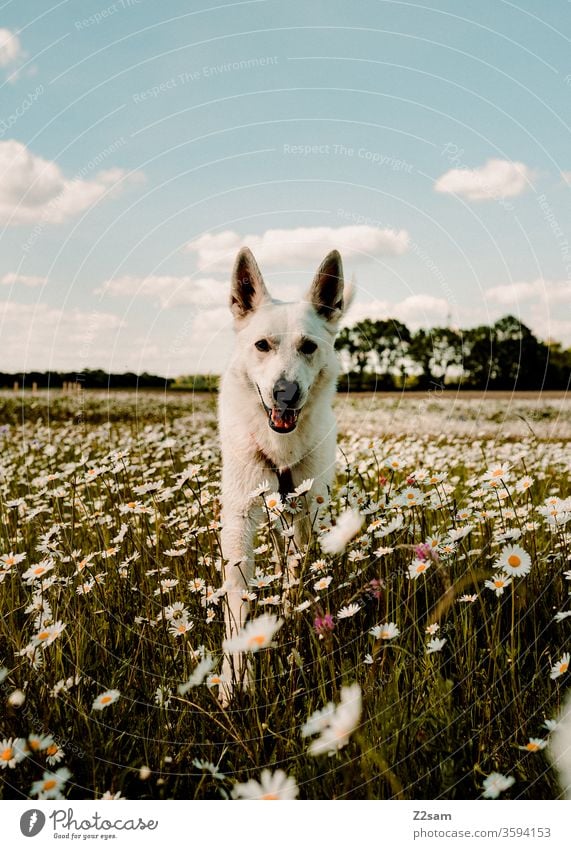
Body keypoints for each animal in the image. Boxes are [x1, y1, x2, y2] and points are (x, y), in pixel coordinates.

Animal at [219, 243, 346, 696]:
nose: (284, 393)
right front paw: (233, 679)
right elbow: (237, 598)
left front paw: (289, 631)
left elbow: (296, 578)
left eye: (308, 346)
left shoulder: (307, 512)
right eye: (262, 345)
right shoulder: (240, 515)